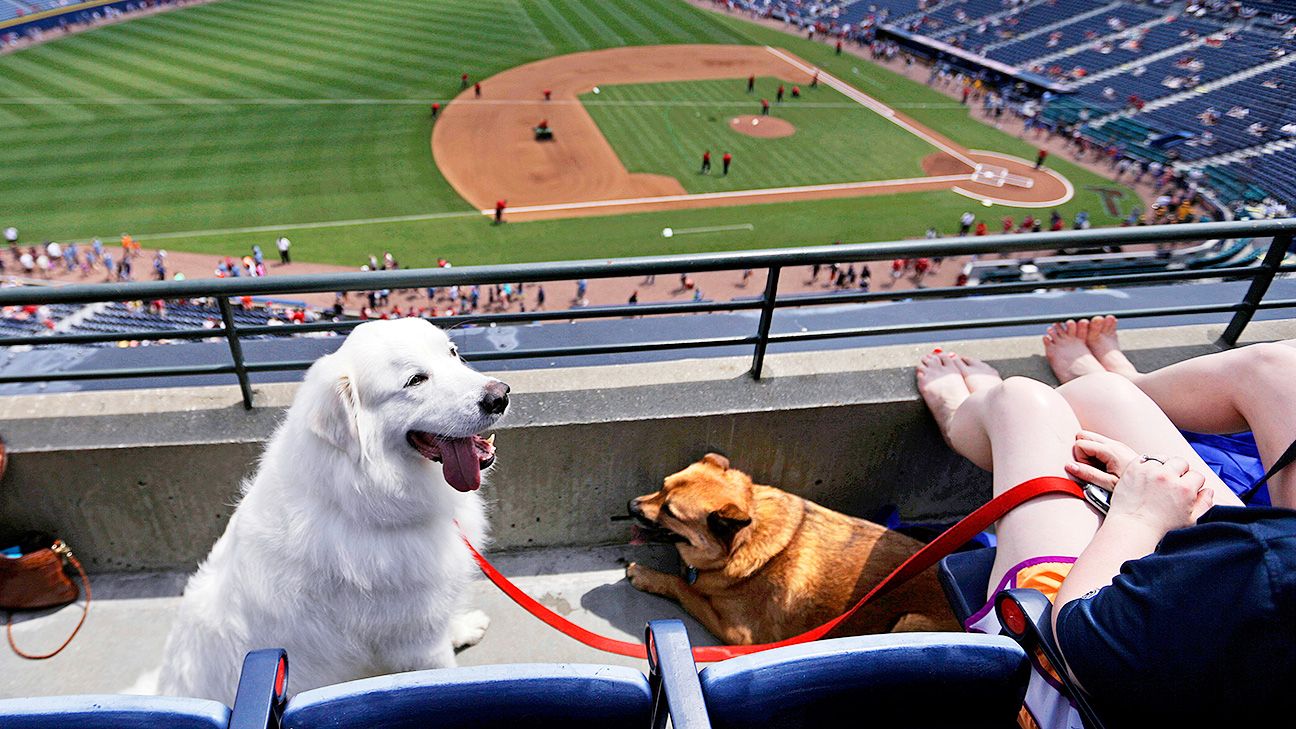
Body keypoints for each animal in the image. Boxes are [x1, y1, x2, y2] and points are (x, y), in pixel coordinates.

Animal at [155, 316, 505, 700]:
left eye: (452, 353)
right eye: (415, 380)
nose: (500, 395)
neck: (360, 497)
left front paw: (462, 626)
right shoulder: (417, 642)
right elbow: (440, 669)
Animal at [627, 451, 964, 643]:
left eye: (670, 512)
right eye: (662, 487)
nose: (630, 506)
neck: (741, 543)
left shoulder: (738, 634)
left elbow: (685, 588)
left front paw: (647, 575)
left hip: (909, 621)